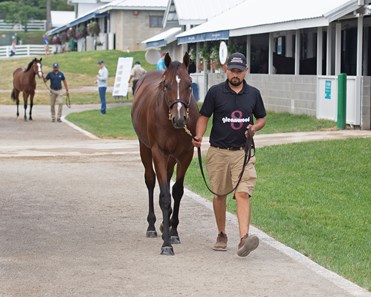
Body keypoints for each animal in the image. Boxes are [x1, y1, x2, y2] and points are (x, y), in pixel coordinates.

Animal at [132, 52, 199, 254]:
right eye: (166, 85)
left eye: (189, 83)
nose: (180, 119)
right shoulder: (159, 153)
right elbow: (164, 197)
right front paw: (166, 244)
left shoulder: (186, 154)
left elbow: (177, 191)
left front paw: (173, 232)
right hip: (145, 149)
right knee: (151, 181)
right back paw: (152, 226)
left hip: (172, 158)